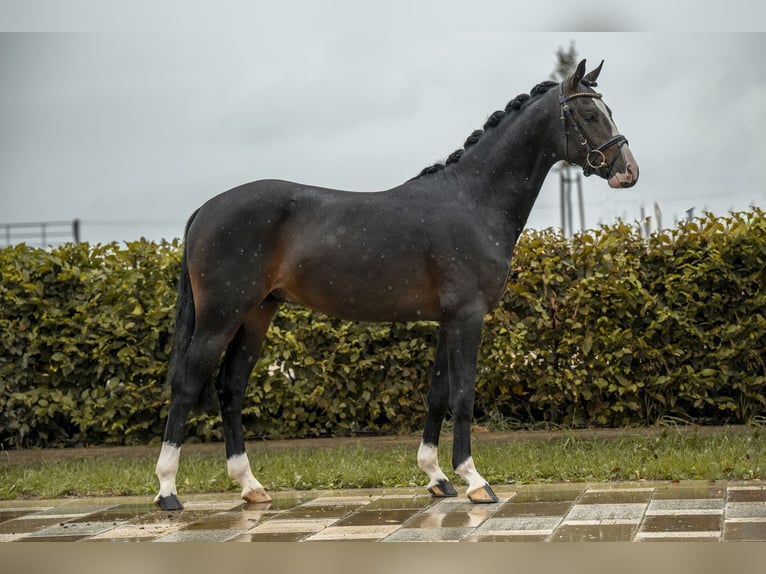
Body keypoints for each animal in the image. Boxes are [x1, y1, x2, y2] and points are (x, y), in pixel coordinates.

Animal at [153, 58, 640, 510]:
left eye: (609, 109)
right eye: (590, 114)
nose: (628, 171)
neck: (472, 200)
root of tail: (205, 209)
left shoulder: (449, 319)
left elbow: (437, 394)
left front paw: (437, 477)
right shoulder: (467, 317)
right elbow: (463, 394)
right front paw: (476, 481)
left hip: (257, 313)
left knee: (231, 387)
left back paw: (250, 486)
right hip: (221, 315)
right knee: (187, 384)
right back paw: (167, 491)